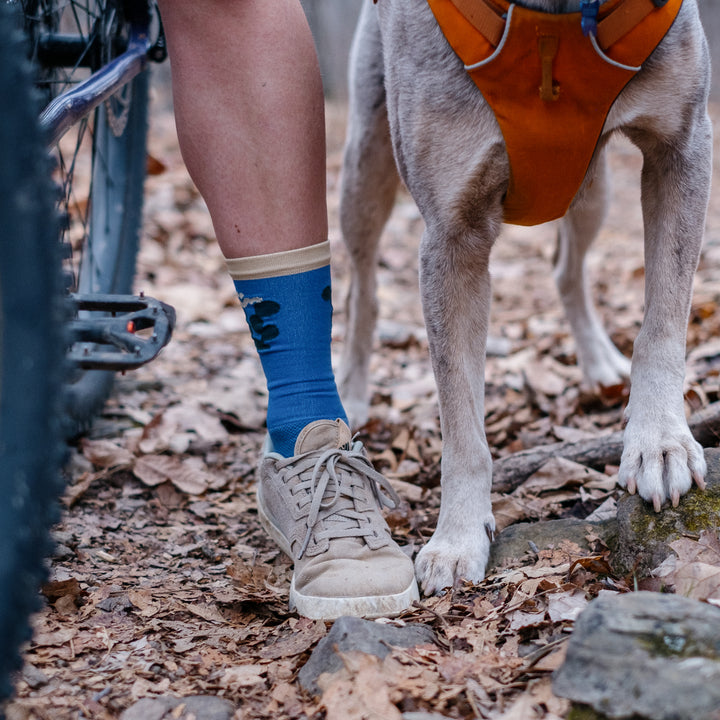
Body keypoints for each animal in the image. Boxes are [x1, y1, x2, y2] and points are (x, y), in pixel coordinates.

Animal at [338, 0, 716, 592]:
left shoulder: (680, 142)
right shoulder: (452, 230)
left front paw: (659, 441)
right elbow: (462, 420)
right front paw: (456, 539)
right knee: (362, 288)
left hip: (593, 186)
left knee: (566, 271)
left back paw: (599, 363)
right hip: (365, 164)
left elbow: (663, 319)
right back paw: (352, 395)